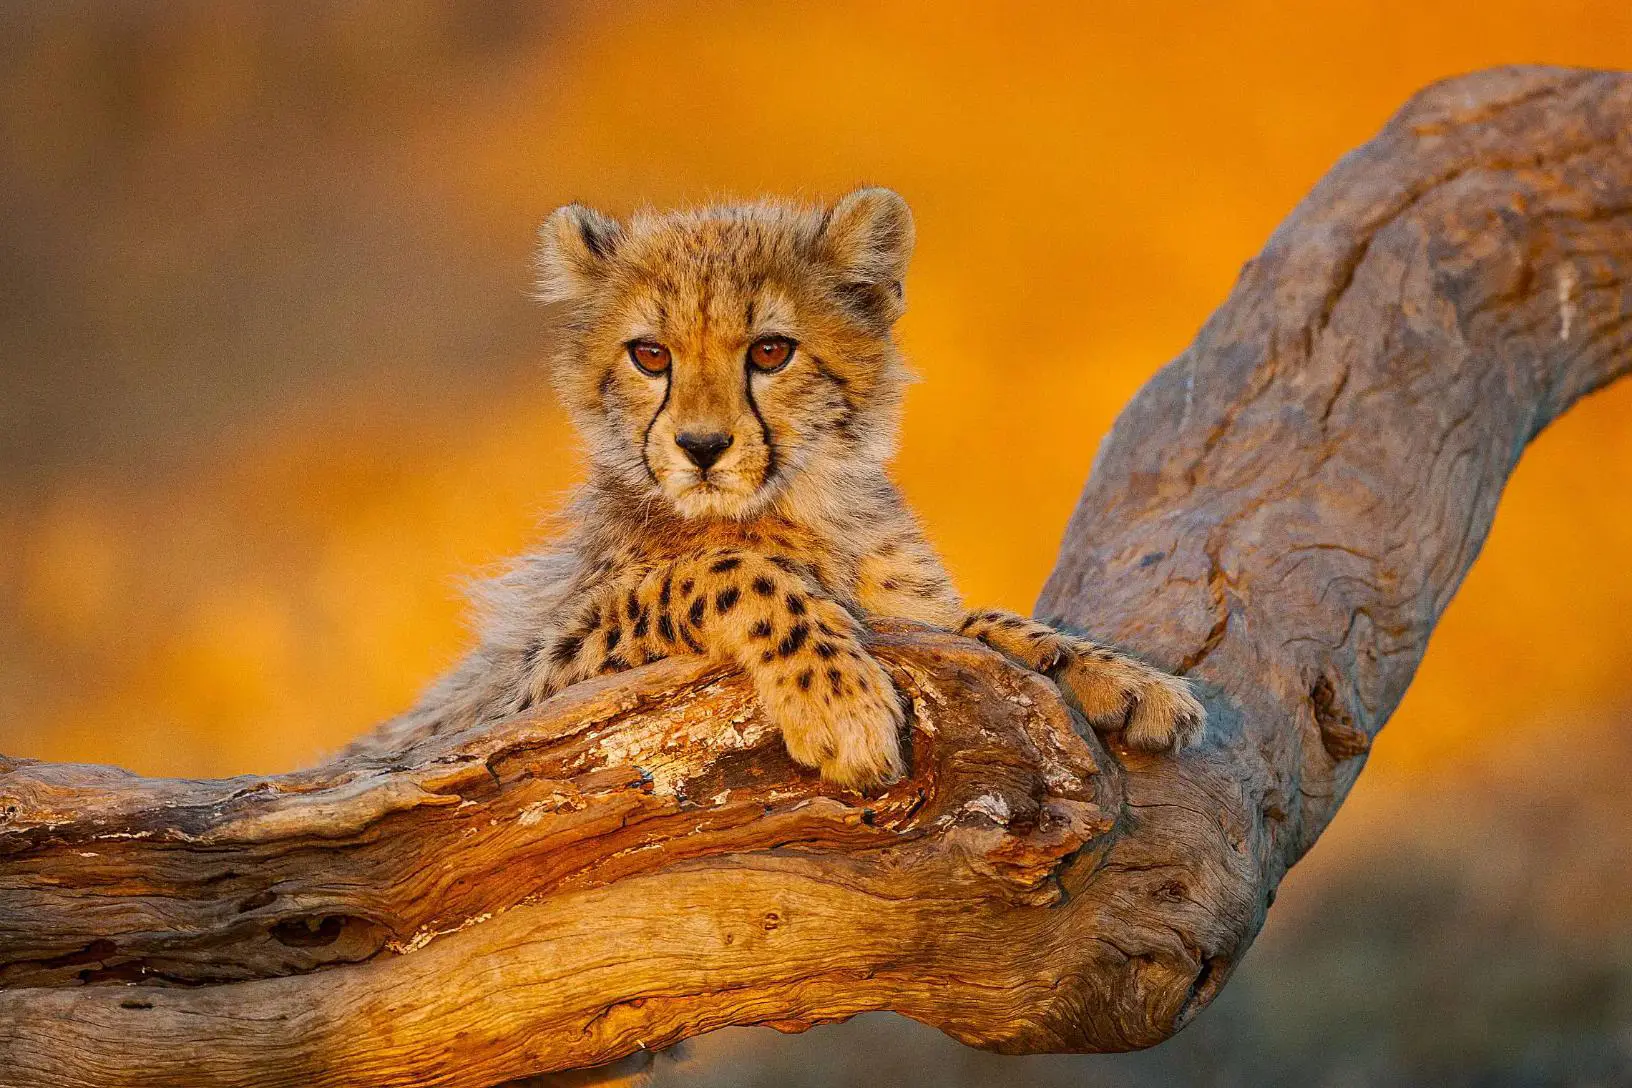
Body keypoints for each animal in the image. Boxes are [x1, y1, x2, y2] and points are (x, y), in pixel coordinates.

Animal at [374, 187, 1204, 789]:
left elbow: (974, 623)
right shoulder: (530, 695)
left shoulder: (919, 618)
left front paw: (1118, 675)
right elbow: (726, 573)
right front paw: (840, 704)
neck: (802, 508)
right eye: (650, 356)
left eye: (771, 352)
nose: (702, 447)